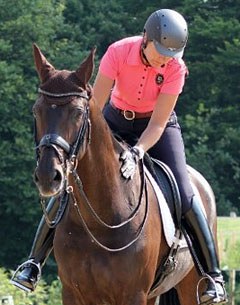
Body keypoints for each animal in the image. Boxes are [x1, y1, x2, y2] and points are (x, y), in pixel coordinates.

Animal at [32, 43, 219, 304]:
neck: (99, 222)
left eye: (78, 112)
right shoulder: (72, 291)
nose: (49, 175)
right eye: (36, 111)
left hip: (191, 287)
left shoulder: (133, 294)